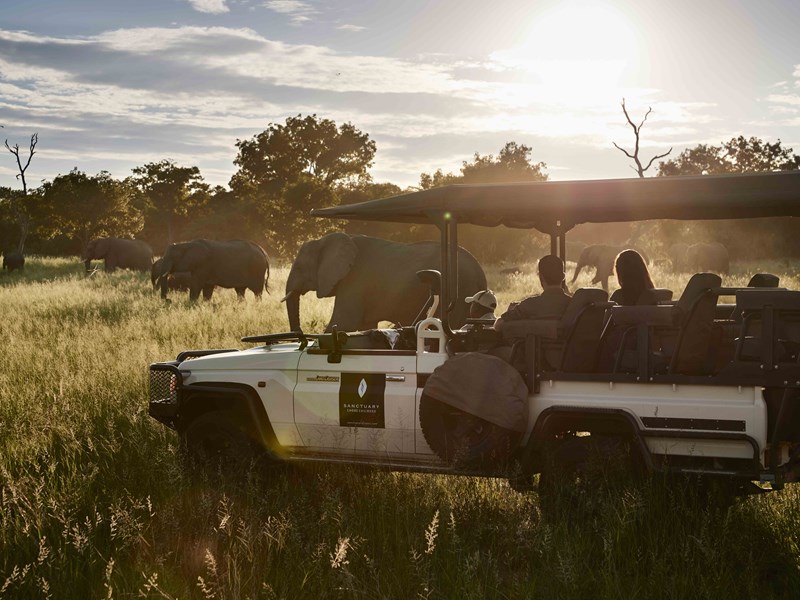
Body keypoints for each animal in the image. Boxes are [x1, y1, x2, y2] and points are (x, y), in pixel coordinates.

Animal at [284, 233, 490, 332]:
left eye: (299, 268)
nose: (298, 333)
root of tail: (480, 272)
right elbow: (364, 327)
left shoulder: (355, 281)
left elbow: (342, 323)